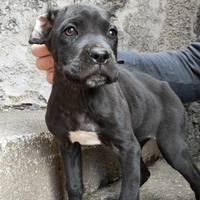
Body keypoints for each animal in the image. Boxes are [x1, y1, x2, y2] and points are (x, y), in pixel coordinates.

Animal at [29, 3, 200, 200]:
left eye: (112, 33)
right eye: (70, 31)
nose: (101, 55)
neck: (80, 96)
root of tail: (165, 84)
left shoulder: (128, 147)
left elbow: (129, 191)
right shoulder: (68, 145)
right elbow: (73, 186)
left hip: (171, 145)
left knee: (193, 176)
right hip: (137, 141)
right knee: (144, 172)